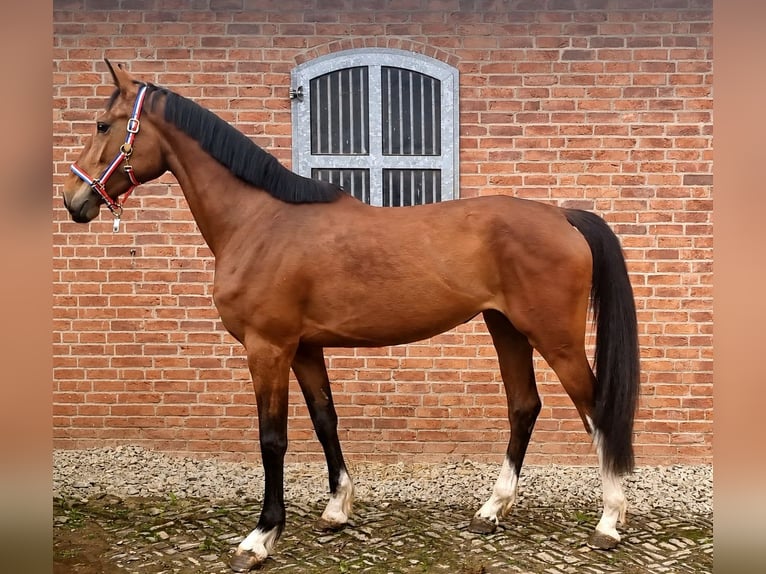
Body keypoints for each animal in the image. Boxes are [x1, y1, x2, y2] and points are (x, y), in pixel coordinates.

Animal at [60, 60, 640, 572]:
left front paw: (260, 538)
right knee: (524, 407)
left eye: (102, 125)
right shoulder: (305, 348)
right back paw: (491, 511)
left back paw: (609, 523)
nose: (73, 199)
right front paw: (337, 508)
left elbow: (272, 439)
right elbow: (325, 420)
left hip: (554, 337)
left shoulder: (267, 348)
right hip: (507, 329)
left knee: (596, 409)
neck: (260, 222)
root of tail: (562, 215)